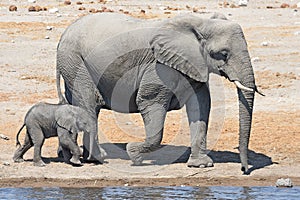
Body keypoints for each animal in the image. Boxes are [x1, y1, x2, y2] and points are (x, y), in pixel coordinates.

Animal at [55, 12, 260, 173]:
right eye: (223, 54)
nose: (244, 169)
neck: (201, 22)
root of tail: (64, 35)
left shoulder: (194, 65)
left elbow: (201, 104)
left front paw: (200, 165)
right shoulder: (158, 68)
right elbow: (149, 100)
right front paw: (133, 153)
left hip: (72, 64)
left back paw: (72, 157)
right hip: (76, 61)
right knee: (89, 103)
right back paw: (98, 158)